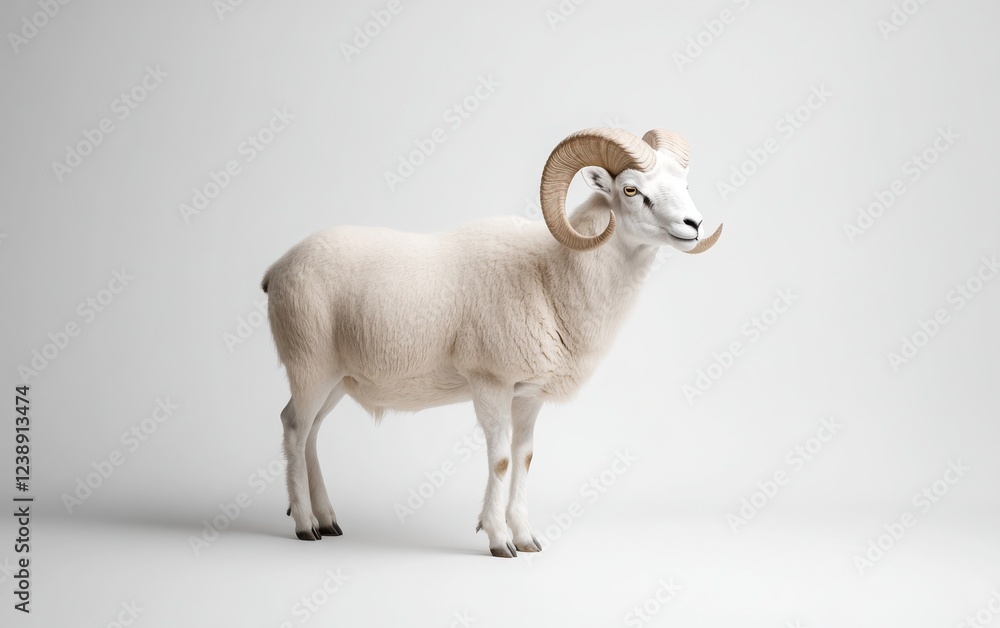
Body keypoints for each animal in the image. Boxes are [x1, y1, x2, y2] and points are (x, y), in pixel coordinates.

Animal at [261, 127, 722, 557]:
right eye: (630, 189)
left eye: (683, 184)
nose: (694, 226)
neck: (549, 275)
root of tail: (277, 269)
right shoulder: (490, 383)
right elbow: (500, 459)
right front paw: (500, 540)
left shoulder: (528, 394)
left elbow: (524, 458)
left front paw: (527, 538)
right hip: (309, 366)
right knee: (294, 427)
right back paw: (305, 525)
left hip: (336, 380)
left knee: (312, 432)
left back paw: (328, 520)